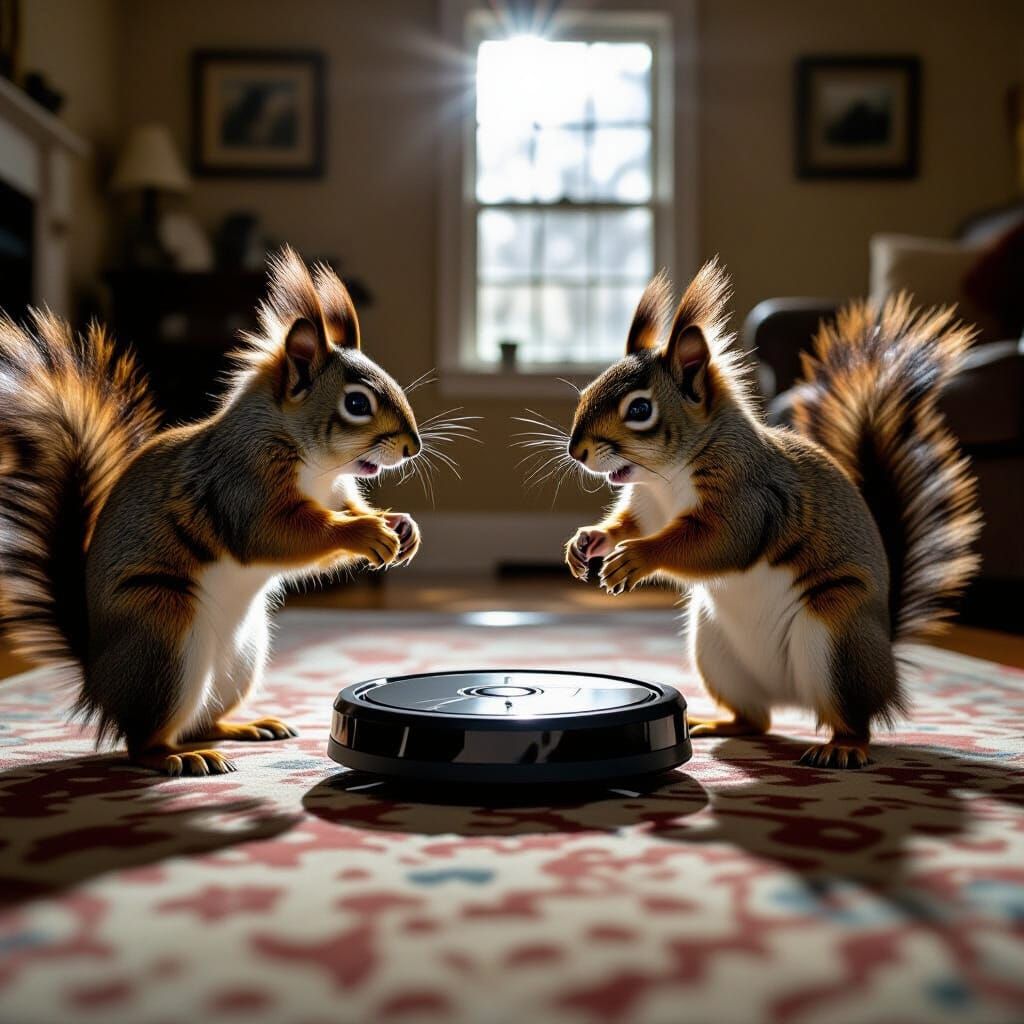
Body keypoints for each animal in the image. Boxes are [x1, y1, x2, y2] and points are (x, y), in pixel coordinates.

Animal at [0, 247, 425, 776]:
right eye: (356, 403)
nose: (413, 446)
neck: (318, 469)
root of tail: (98, 680)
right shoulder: (240, 487)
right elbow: (278, 534)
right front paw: (366, 531)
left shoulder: (336, 493)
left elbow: (341, 514)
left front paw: (402, 527)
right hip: (163, 633)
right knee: (143, 741)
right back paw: (180, 758)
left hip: (241, 660)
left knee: (200, 719)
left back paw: (247, 727)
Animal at [564, 260, 981, 768]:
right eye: (588, 389)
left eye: (640, 408)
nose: (576, 450)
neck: (665, 479)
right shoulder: (647, 505)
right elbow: (631, 525)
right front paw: (587, 541)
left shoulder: (749, 497)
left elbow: (718, 541)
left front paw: (635, 558)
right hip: (716, 653)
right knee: (756, 719)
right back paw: (716, 724)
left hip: (837, 636)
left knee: (854, 718)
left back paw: (843, 747)